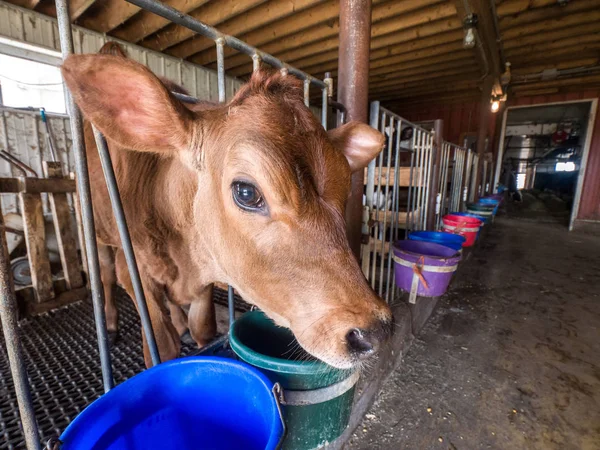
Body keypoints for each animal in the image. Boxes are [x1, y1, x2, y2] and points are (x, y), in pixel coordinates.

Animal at [62, 51, 394, 370]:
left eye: (346, 187)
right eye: (246, 192)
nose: (373, 332)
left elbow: (203, 329)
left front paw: (189, 329)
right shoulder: (135, 272)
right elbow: (163, 346)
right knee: (104, 275)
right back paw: (111, 325)